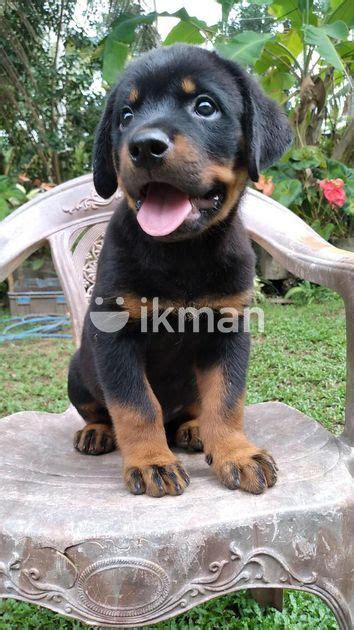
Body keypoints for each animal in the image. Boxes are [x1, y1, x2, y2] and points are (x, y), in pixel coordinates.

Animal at [68, 43, 292, 498]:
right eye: (126, 115)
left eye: (204, 106)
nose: (144, 147)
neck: (181, 254)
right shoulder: (115, 334)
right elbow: (136, 405)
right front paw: (151, 461)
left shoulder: (228, 330)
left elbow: (227, 400)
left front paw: (236, 453)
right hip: (77, 372)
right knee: (100, 410)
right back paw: (98, 432)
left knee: (195, 407)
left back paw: (192, 428)